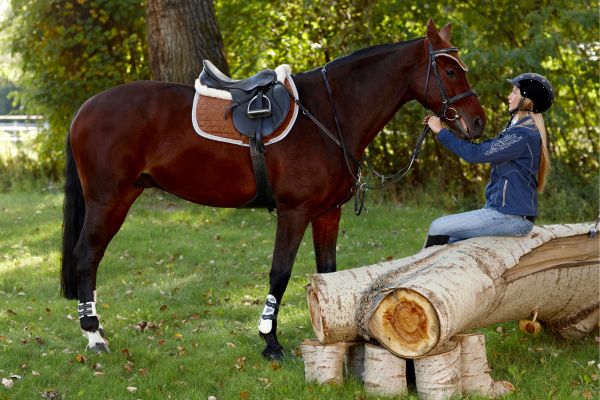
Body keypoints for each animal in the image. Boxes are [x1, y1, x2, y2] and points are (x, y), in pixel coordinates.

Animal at [61, 19, 486, 360]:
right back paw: (94, 336)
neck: (328, 114)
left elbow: (328, 273)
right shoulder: (293, 212)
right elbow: (279, 274)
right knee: (87, 256)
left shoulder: (327, 213)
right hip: (109, 201)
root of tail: (85, 108)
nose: (478, 122)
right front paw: (270, 342)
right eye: (450, 70)